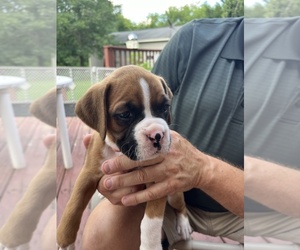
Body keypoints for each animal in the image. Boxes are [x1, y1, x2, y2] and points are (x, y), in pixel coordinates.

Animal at [56, 65, 192, 249]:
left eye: (165, 107)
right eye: (125, 114)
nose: (157, 134)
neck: (119, 151)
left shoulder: (158, 181)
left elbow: (151, 222)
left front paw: (150, 245)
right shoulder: (88, 174)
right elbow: (74, 205)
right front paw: (65, 240)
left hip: (174, 194)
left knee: (181, 205)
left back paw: (183, 224)